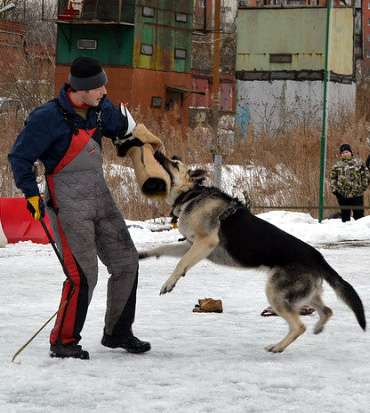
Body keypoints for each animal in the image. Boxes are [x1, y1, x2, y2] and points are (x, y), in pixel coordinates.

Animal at [139, 153, 368, 352]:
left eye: (174, 163)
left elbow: (181, 263)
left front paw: (169, 283)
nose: (157, 153)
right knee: (327, 310)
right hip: (303, 295)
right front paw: (143, 254)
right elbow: (163, 249)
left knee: (299, 326)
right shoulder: (190, 245)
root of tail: (318, 257)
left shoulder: (204, 243)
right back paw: (318, 327)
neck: (191, 194)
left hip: (276, 293)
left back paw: (278, 347)